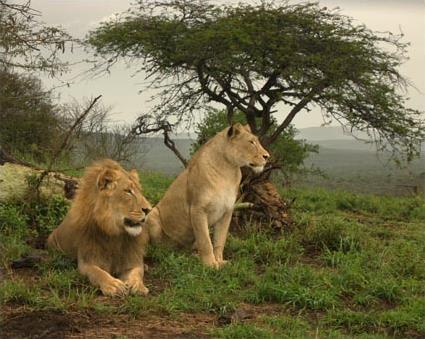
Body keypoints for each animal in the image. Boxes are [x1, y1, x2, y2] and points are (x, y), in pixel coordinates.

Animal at [47, 159, 152, 294]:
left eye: (140, 191)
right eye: (128, 191)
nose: (149, 209)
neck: (115, 234)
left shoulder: (132, 258)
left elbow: (137, 272)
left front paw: (137, 285)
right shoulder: (87, 260)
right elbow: (97, 272)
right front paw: (113, 285)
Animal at [146, 123, 268, 270]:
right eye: (251, 142)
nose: (267, 156)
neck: (228, 171)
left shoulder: (227, 212)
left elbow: (220, 240)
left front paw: (220, 261)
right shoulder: (197, 210)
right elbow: (205, 241)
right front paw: (210, 265)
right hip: (152, 214)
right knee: (159, 248)